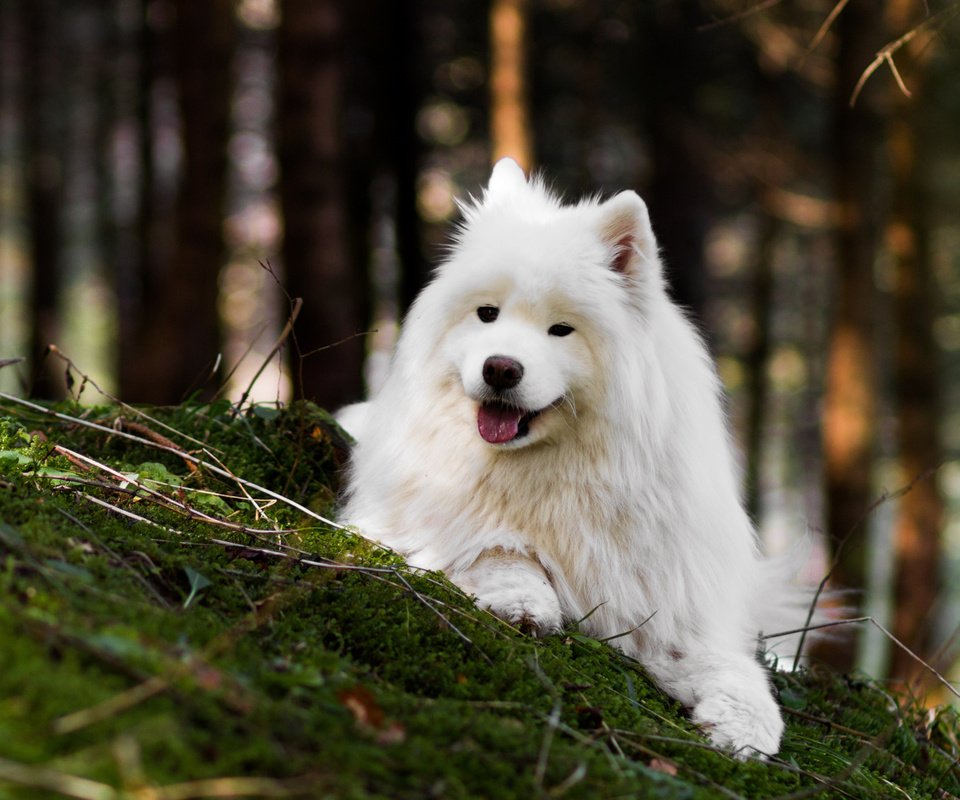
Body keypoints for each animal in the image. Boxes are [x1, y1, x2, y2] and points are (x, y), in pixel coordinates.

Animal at [338, 159, 804, 760]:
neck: (555, 468)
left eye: (562, 329)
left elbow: (733, 667)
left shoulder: (667, 603)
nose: (500, 368)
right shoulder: (430, 520)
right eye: (487, 314)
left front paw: (746, 726)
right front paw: (524, 601)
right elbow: (499, 548)